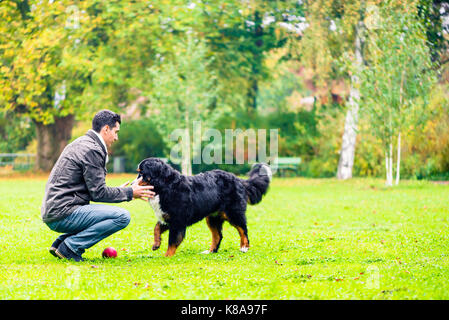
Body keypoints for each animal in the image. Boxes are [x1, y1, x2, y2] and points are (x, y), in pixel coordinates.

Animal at [134, 158, 270, 258]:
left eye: (142, 173)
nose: (131, 184)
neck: (165, 186)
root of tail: (238, 179)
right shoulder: (167, 216)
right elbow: (156, 228)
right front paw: (156, 244)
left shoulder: (177, 221)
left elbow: (172, 241)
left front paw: (167, 256)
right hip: (213, 218)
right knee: (218, 236)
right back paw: (210, 251)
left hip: (233, 213)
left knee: (243, 230)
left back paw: (244, 247)